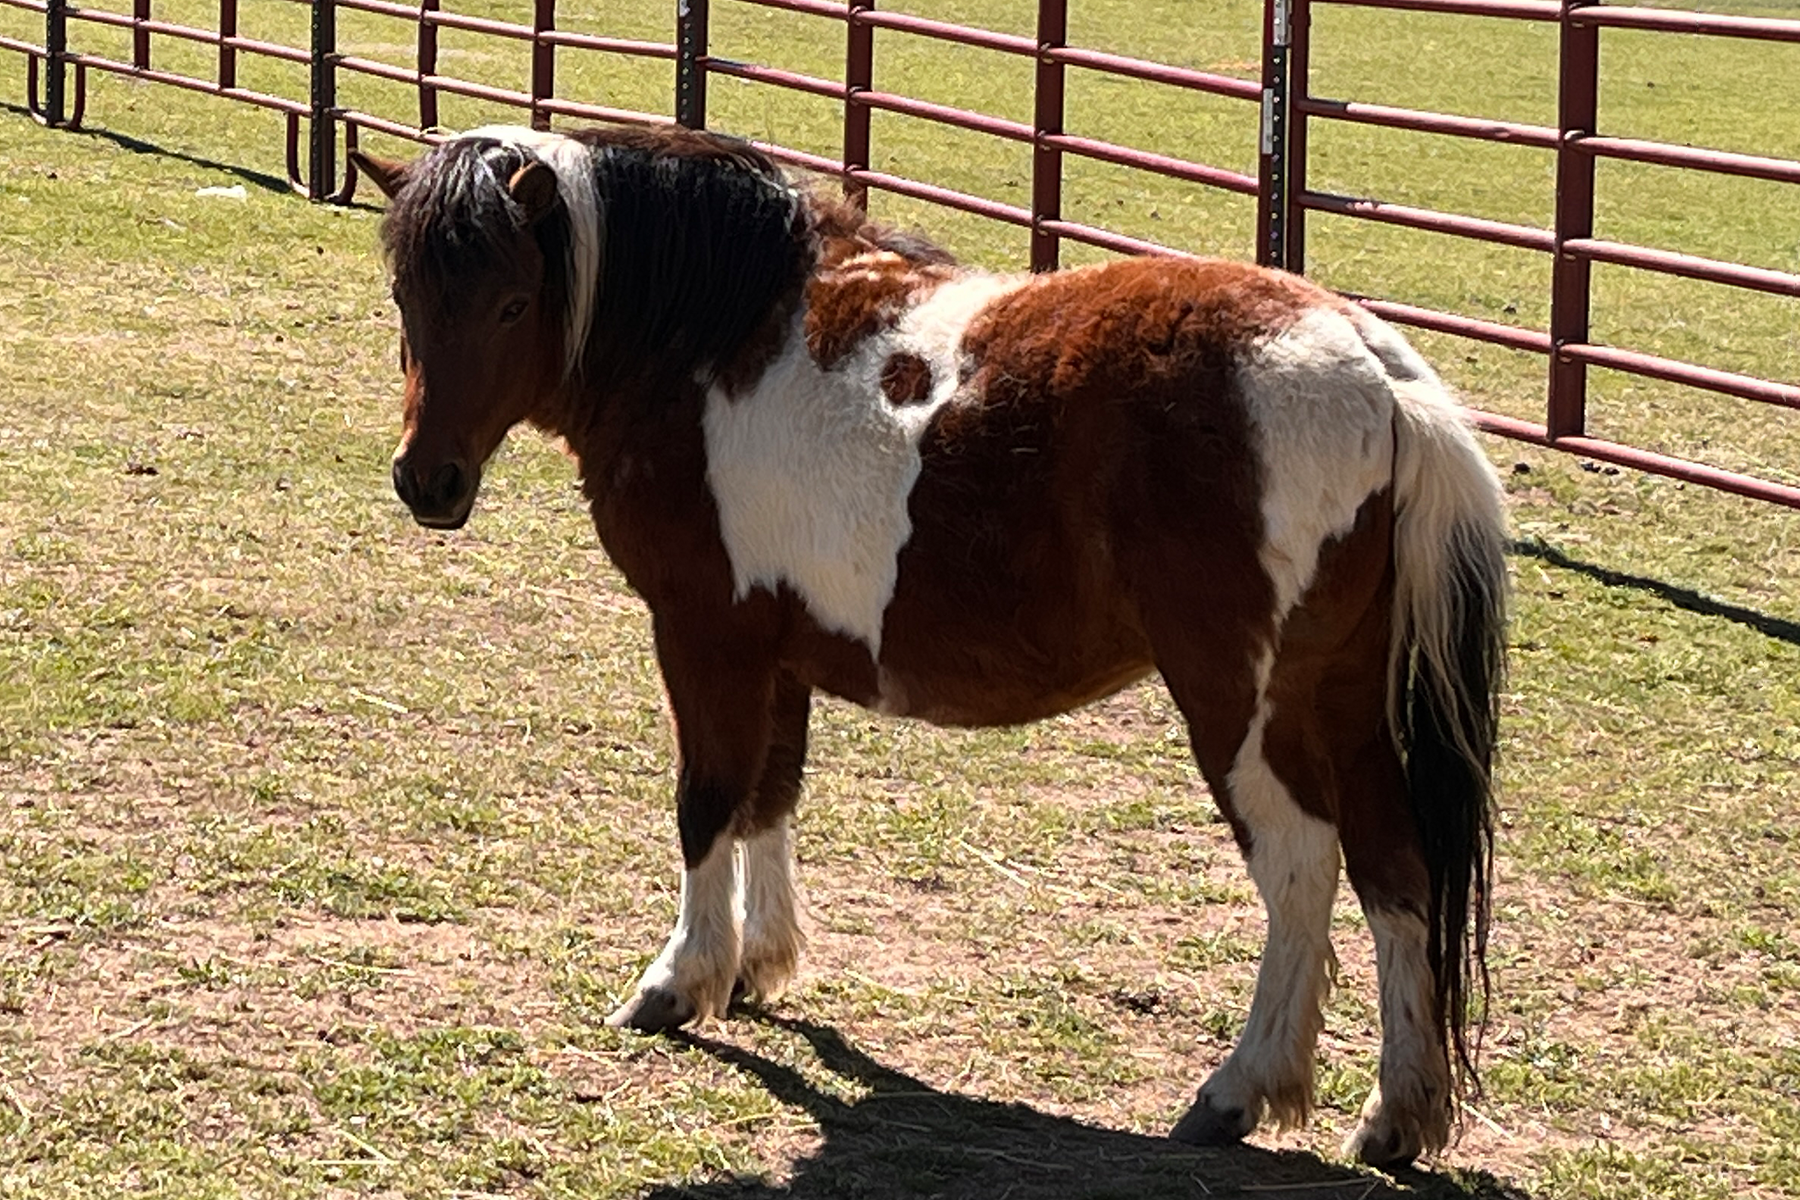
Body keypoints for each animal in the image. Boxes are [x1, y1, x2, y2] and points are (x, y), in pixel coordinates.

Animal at [349, 123, 1507, 1169]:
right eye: (408, 300)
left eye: (511, 302)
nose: (427, 482)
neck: (711, 338)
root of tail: (1379, 370)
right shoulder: (778, 653)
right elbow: (769, 799)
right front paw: (758, 967)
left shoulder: (705, 637)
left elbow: (706, 803)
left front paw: (681, 981)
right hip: (1346, 704)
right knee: (1397, 875)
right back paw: (1398, 1115)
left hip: (1243, 708)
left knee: (1302, 871)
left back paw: (1239, 1089)